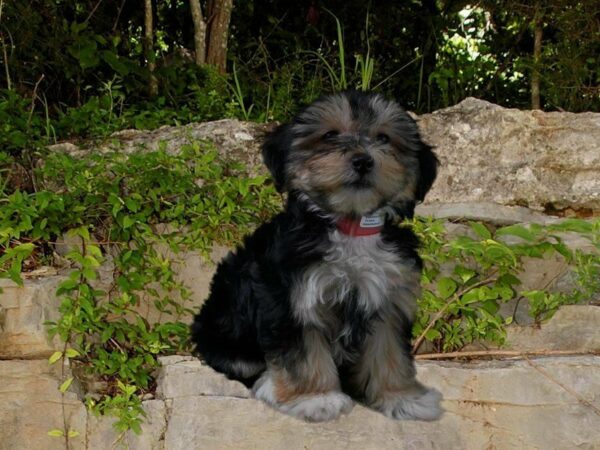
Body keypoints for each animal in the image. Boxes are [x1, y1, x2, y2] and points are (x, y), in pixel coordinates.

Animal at [190, 91, 442, 422]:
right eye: (330, 135)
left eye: (384, 138)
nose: (363, 160)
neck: (350, 226)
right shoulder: (292, 301)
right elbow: (303, 354)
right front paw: (315, 398)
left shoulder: (387, 302)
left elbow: (390, 354)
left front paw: (401, 397)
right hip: (225, 327)